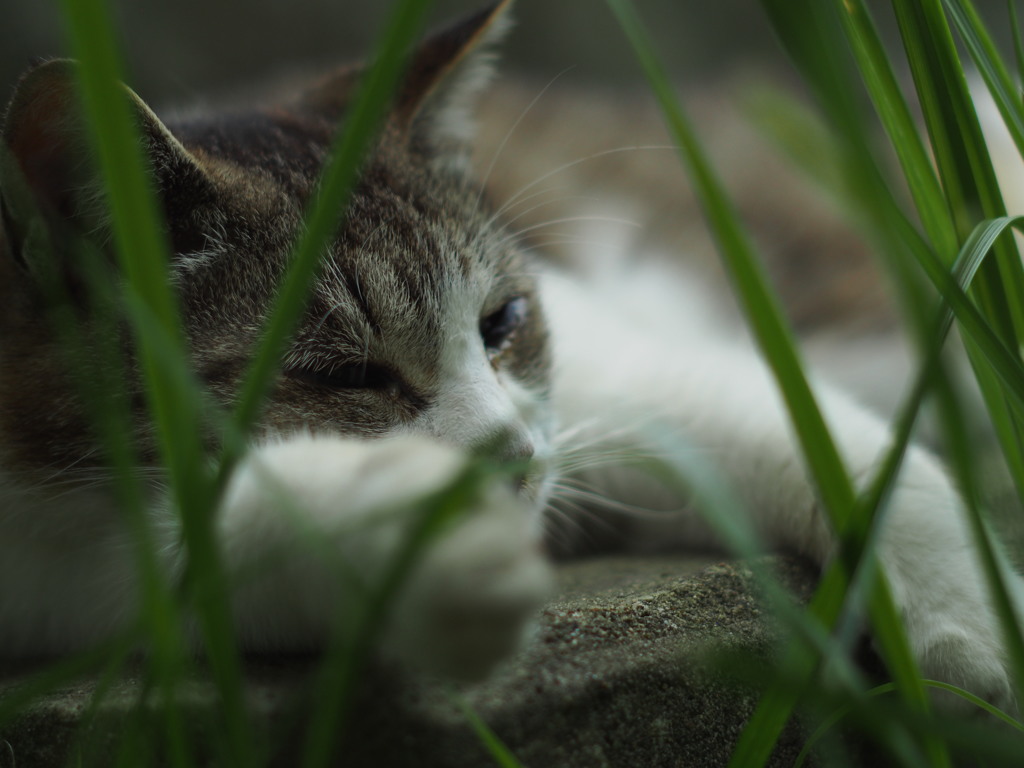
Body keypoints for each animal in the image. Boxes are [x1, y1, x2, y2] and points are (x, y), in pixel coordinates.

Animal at [0, 0, 1015, 712]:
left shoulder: (612, 378)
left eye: (502, 321)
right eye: (344, 376)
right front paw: (410, 540)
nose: (516, 458)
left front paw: (975, 626)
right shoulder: (67, 579)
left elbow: (824, 441)